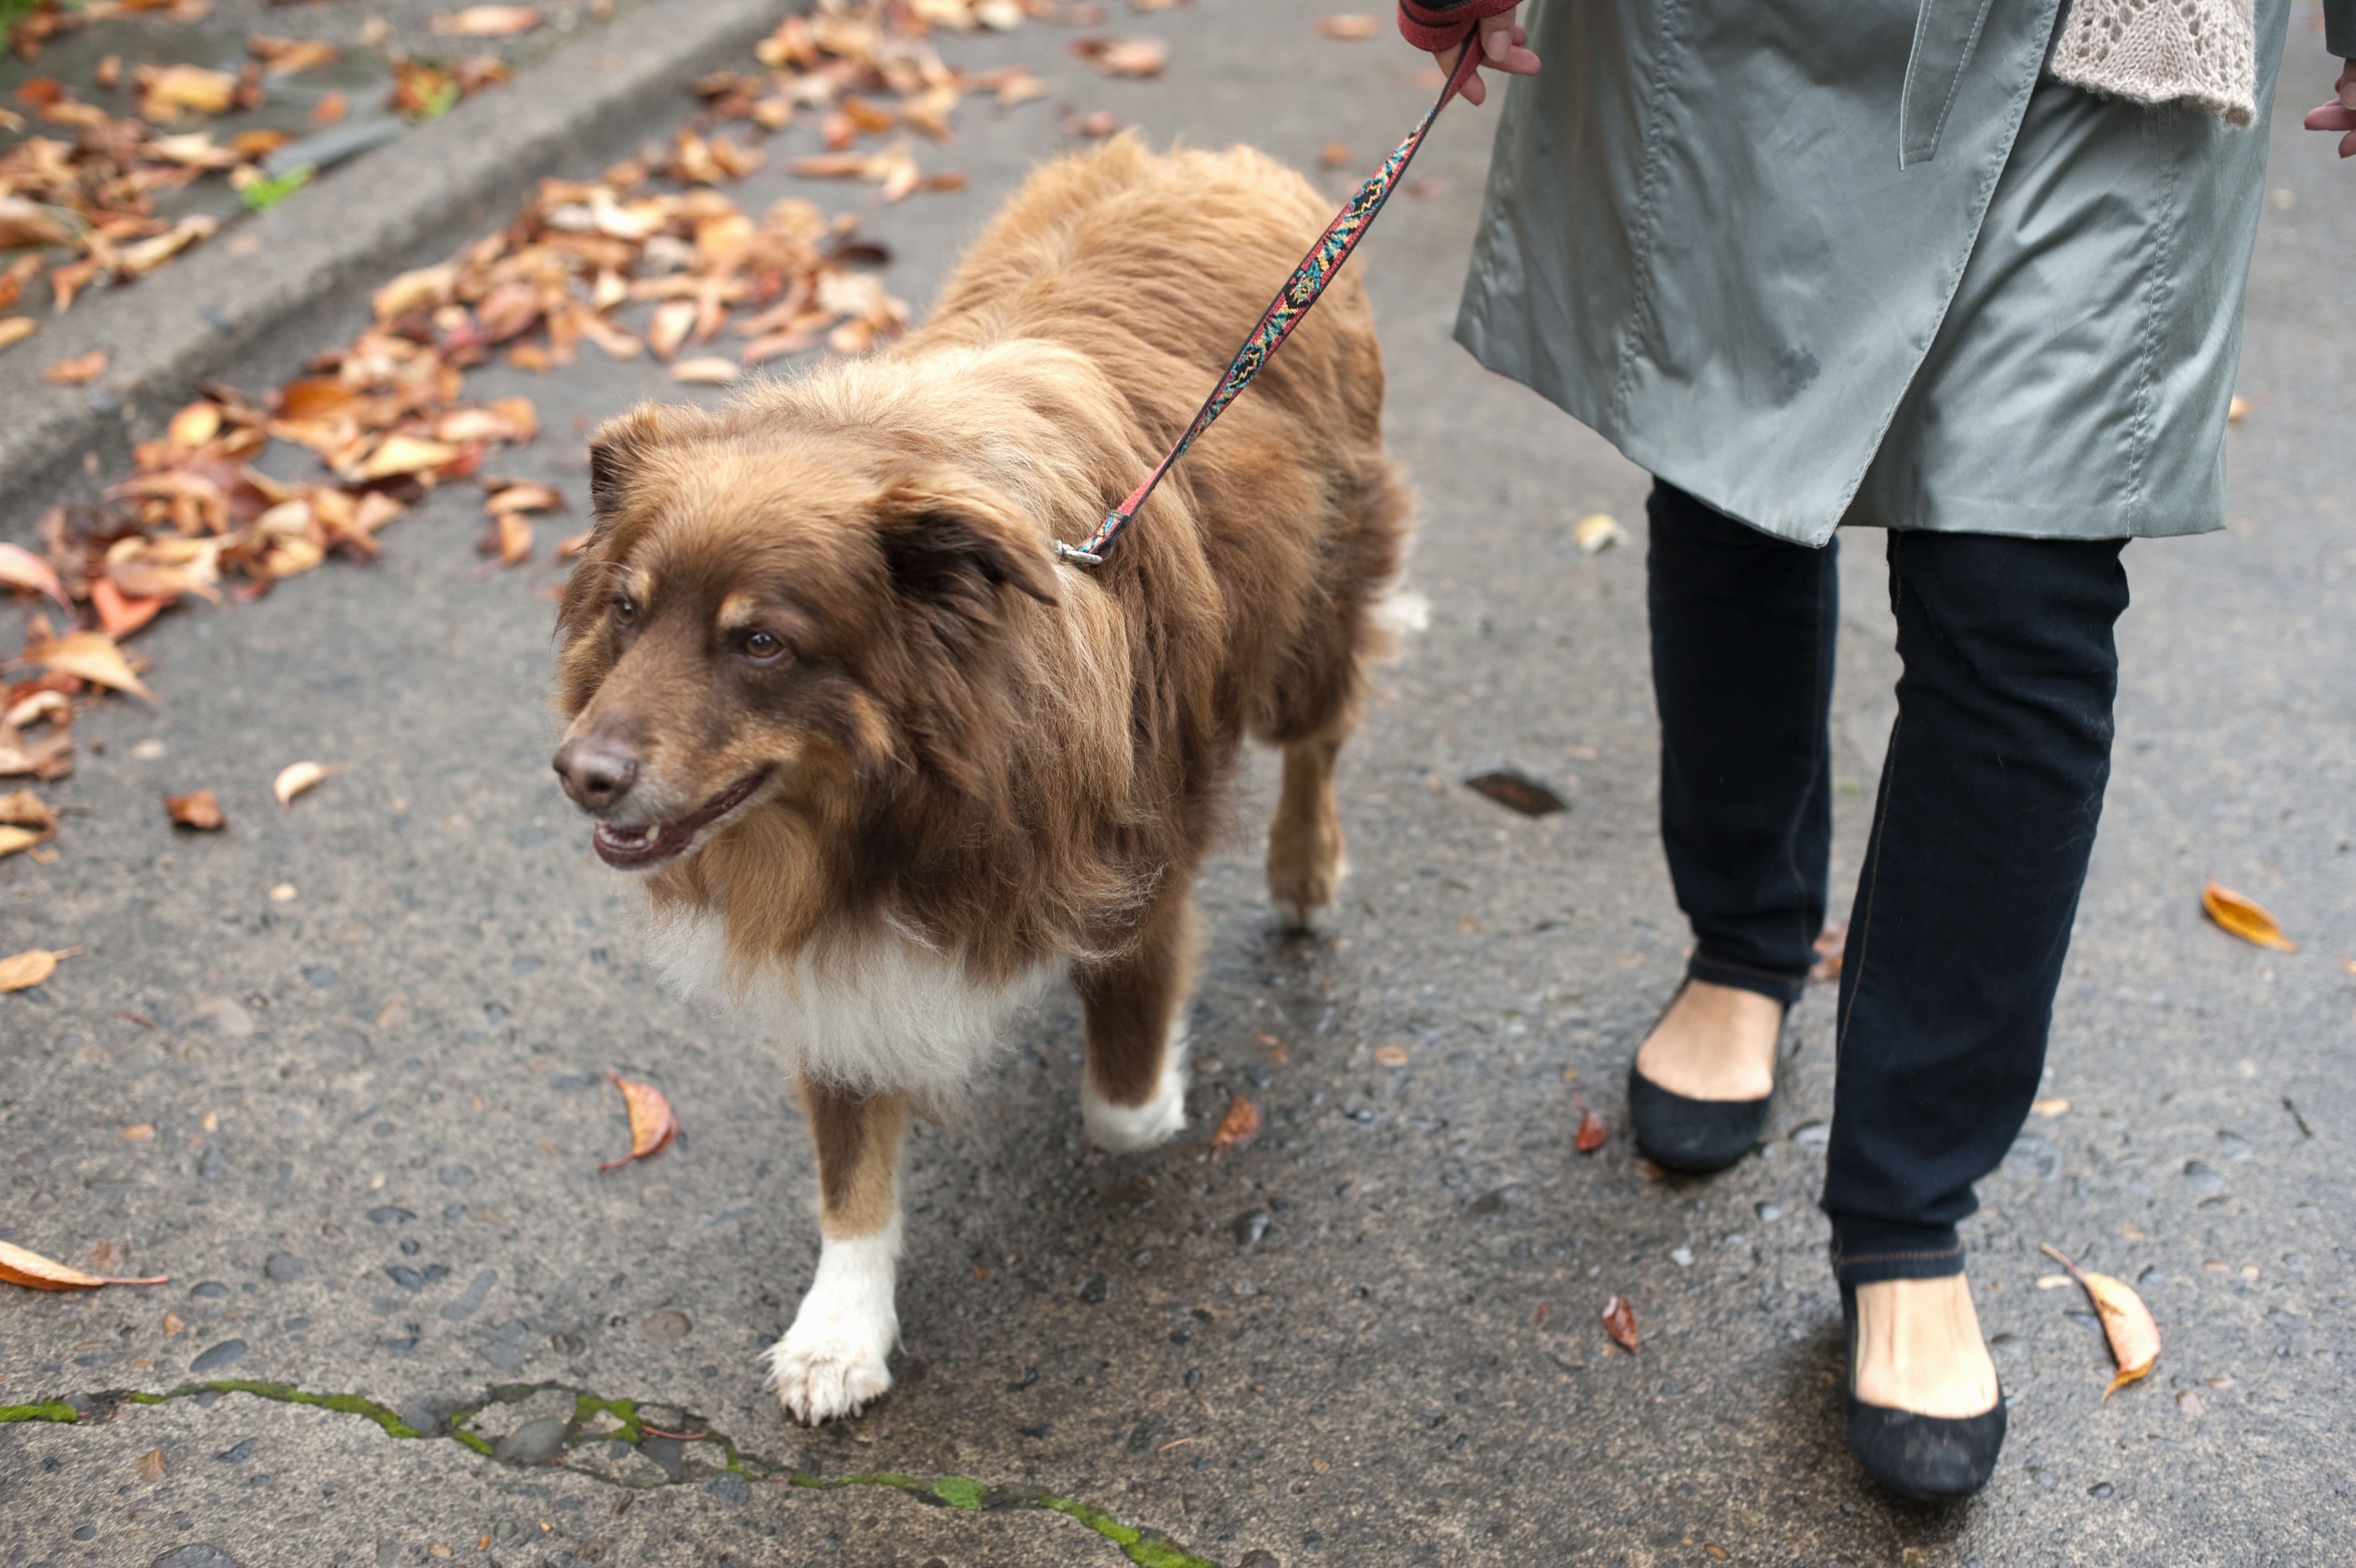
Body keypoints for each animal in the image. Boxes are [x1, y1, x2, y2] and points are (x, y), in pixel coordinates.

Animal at [551, 141, 1414, 1424]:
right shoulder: (835, 944)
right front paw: (840, 1328)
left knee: (1319, 738)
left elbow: (1121, 1109)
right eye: (625, 609)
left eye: (760, 643)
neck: (897, 801)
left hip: (1316, 605)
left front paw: (1156, 1086)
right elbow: (850, 1163)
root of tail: (1213, 163)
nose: (578, 776)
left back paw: (1305, 872)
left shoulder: (1135, 866)